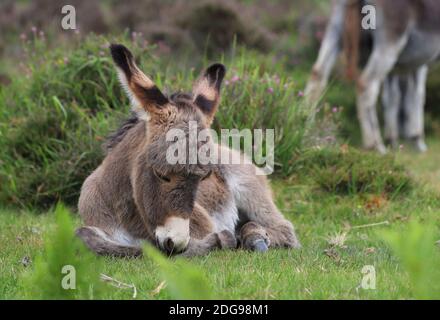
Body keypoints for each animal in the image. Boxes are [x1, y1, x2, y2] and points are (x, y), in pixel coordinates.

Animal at [76, 43, 302, 258]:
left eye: (204, 177)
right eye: (160, 173)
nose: (175, 242)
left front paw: (220, 241)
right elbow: (83, 235)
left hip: (249, 188)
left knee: (283, 229)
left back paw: (253, 237)